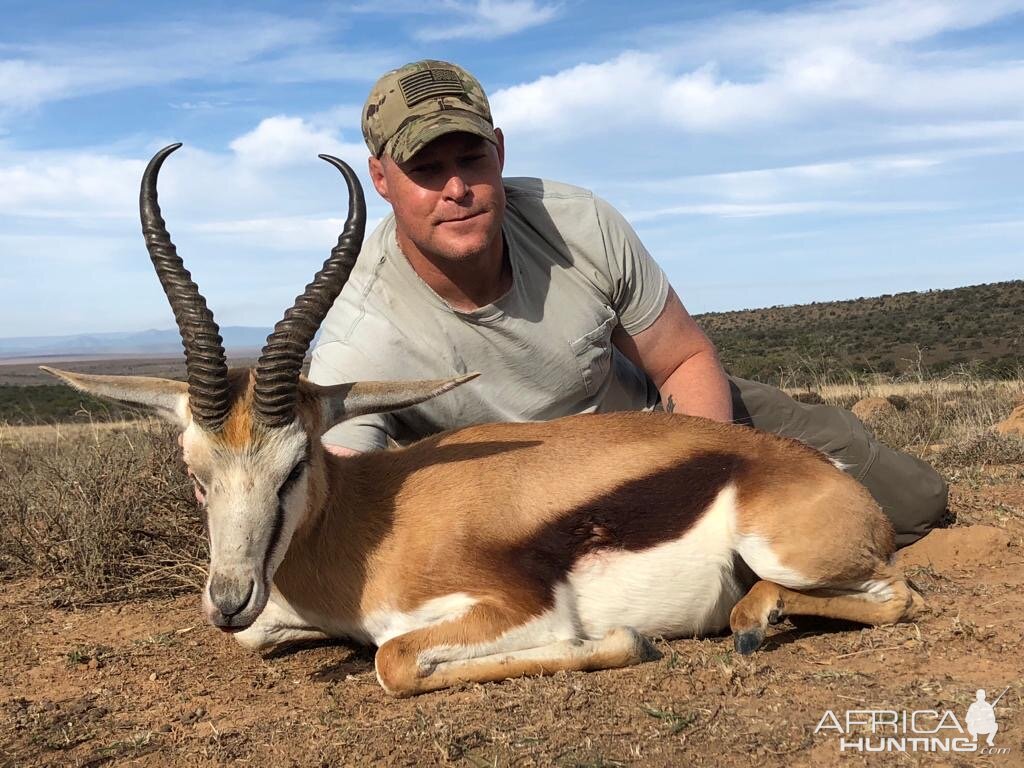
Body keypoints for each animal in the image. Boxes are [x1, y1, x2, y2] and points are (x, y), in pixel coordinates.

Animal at [44, 144, 925, 696]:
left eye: (294, 466)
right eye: (193, 473)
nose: (227, 597)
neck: (362, 529)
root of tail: (817, 470)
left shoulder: (511, 609)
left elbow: (393, 661)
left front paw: (622, 642)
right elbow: (275, 640)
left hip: (784, 550)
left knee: (898, 596)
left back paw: (750, 623)